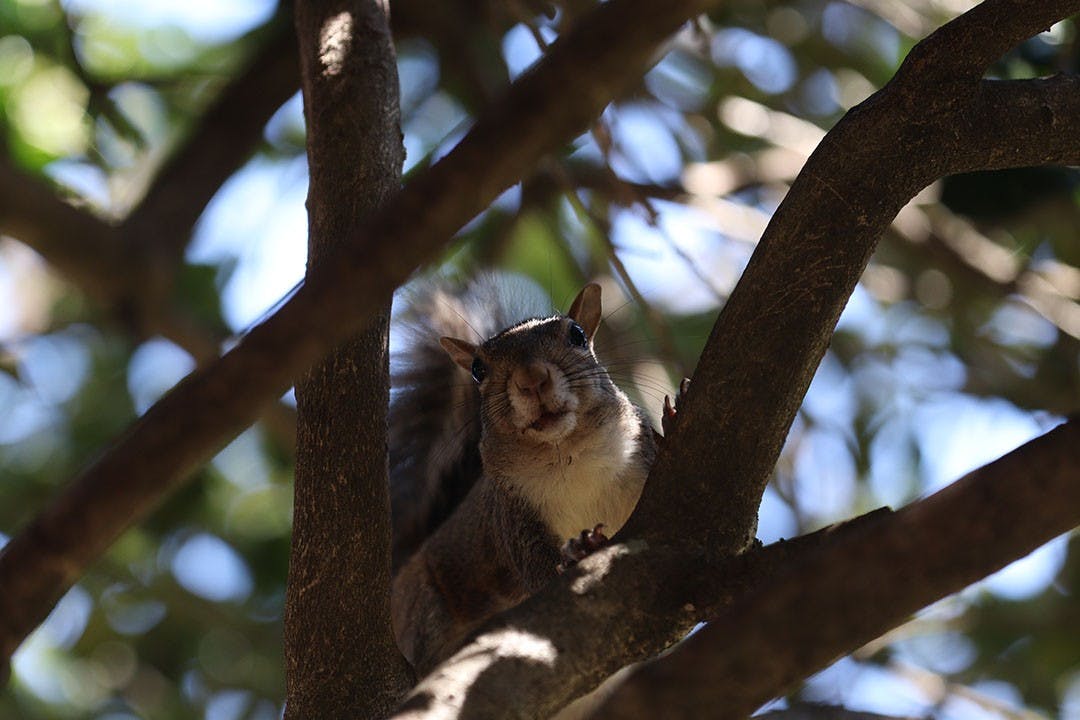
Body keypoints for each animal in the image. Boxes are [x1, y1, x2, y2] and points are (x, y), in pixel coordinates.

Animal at [388, 277, 661, 674]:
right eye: (477, 369)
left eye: (577, 335)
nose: (531, 379)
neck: (567, 456)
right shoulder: (512, 516)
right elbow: (538, 571)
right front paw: (580, 551)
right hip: (424, 603)